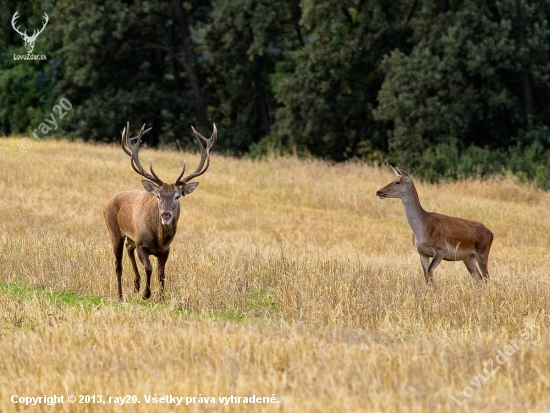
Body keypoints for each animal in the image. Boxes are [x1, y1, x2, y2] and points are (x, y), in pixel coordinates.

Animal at [104, 121, 217, 300]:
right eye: (158, 195)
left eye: (177, 196)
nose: (165, 214)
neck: (159, 239)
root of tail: (107, 202)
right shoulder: (141, 243)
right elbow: (149, 268)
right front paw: (146, 294)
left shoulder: (166, 250)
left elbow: (162, 274)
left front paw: (162, 298)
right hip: (114, 231)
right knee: (118, 264)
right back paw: (121, 296)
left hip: (130, 236)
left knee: (129, 248)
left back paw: (136, 283)